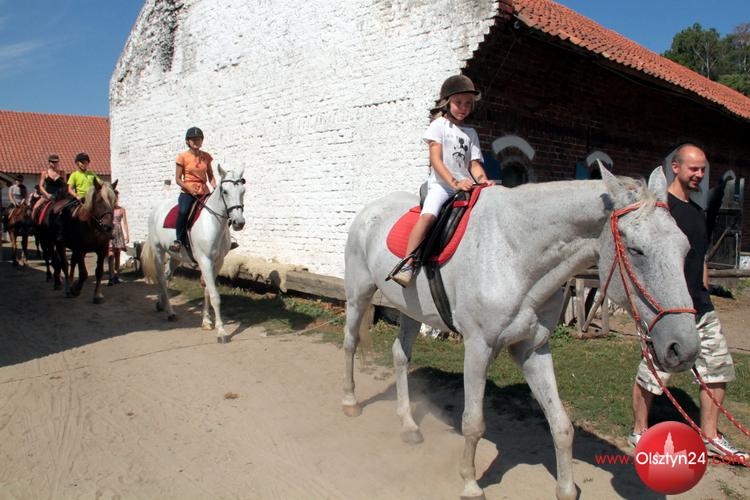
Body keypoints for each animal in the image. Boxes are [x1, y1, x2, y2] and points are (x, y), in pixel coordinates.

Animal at [140, 166, 246, 343]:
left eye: (243, 191)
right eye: (225, 191)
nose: (239, 223)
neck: (212, 223)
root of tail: (157, 208)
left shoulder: (217, 262)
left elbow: (208, 291)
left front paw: (207, 321)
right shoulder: (205, 261)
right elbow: (215, 296)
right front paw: (221, 332)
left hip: (176, 257)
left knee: (167, 276)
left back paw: (161, 304)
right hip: (158, 251)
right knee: (161, 278)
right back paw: (170, 312)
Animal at [342, 165, 700, 500]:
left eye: (685, 248)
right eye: (637, 250)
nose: (684, 349)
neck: (514, 252)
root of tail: (370, 210)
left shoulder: (532, 347)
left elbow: (561, 424)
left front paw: (566, 489)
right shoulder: (478, 347)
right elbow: (473, 422)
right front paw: (470, 483)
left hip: (411, 311)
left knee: (400, 356)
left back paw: (409, 425)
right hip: (358, 295)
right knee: (350, 344)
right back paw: (350, 402)